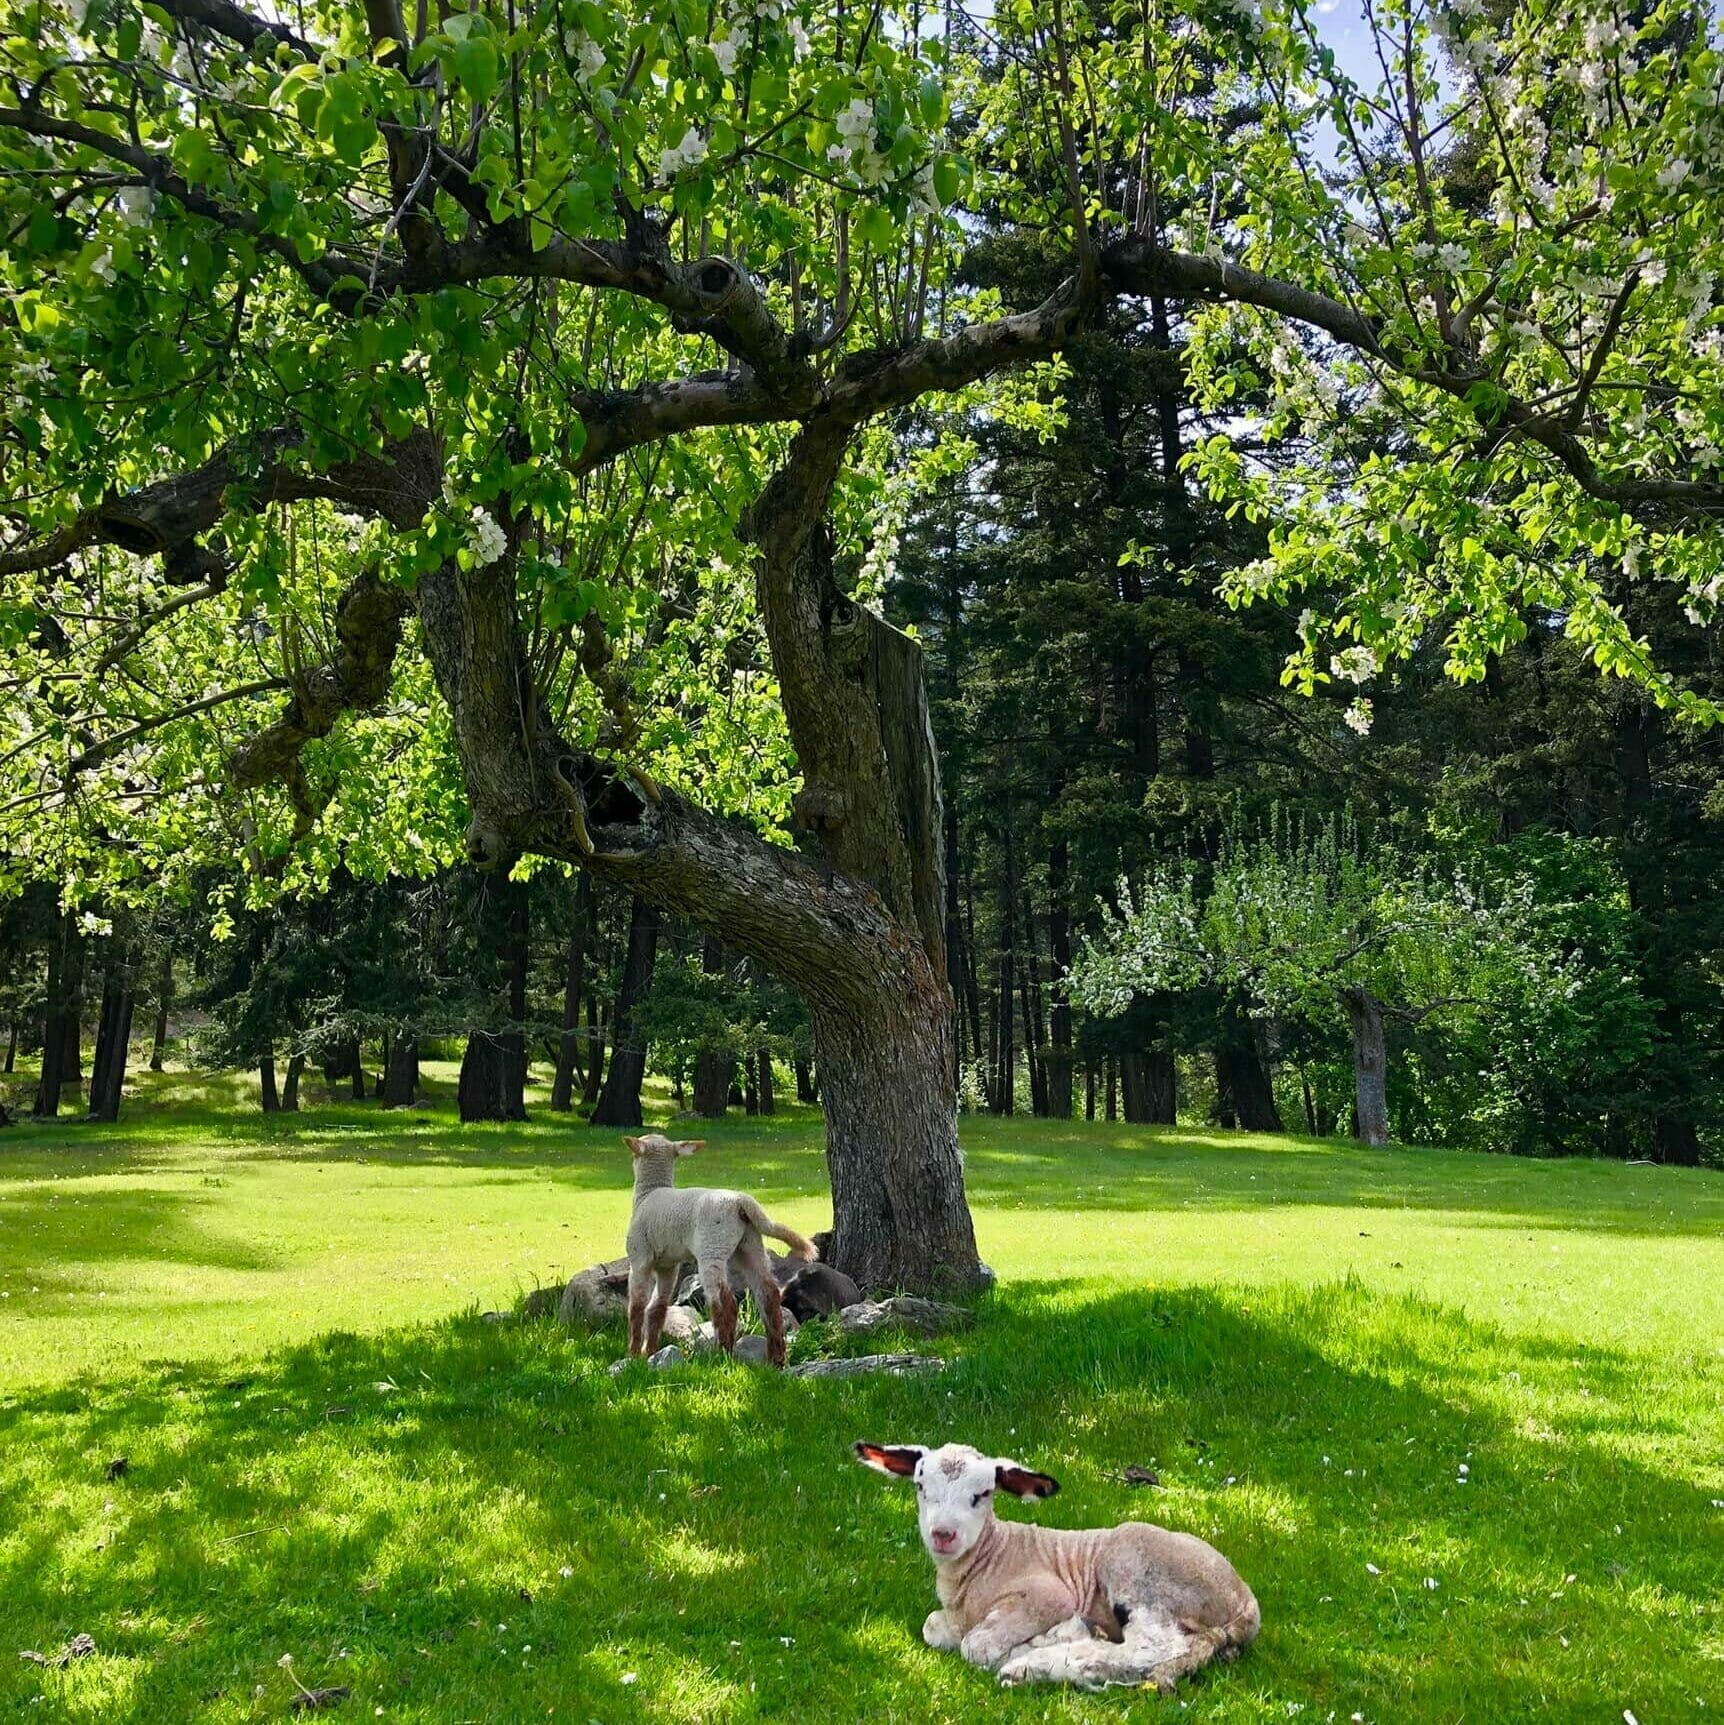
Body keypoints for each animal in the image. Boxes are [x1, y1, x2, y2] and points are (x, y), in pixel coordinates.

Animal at [623, 1134, 815, 1367]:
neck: (648, 1193)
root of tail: (741, 1201)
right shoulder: (669, 1266)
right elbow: (657, 1307)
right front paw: (649, 1351)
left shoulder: (639, 1259)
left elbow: (637, 1307)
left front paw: (633, 1354)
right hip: (749, 1245)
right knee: (768, 1294)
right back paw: (776, 1358)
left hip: (712, 1249)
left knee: (726, 1302)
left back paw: (723, 1352)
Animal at [854, 1440, 1259, 1692]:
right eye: (920, 1486)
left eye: (982, 1494)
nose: (942, 1534)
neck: (987, 1559)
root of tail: (1246, 1603)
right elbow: (932, 1627)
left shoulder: (1049, 1594)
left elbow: (977, 1645)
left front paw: (1016, 1649)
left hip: (1137, 1567)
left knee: (1152, 1645)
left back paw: (1032, 1665)